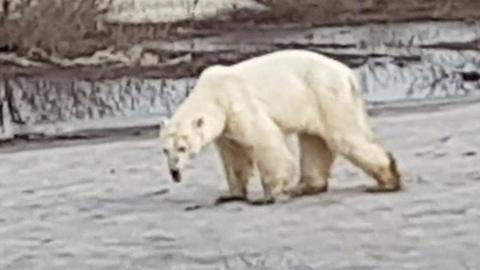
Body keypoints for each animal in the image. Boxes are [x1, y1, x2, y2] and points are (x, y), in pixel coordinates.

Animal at [159, 49, 404, 205]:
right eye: (165, 150)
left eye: (182, 148)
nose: (174, 172)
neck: (213, 94)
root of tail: (348, 74)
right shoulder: (226, 125)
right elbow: (234, 156)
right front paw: (231, 195)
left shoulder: (238, 104)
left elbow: (264, 141)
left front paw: (269, 195)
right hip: (314, 102)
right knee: (314, 141)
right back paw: (305, 186)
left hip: (326, 94)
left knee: (345, 137)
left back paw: (386, 182)